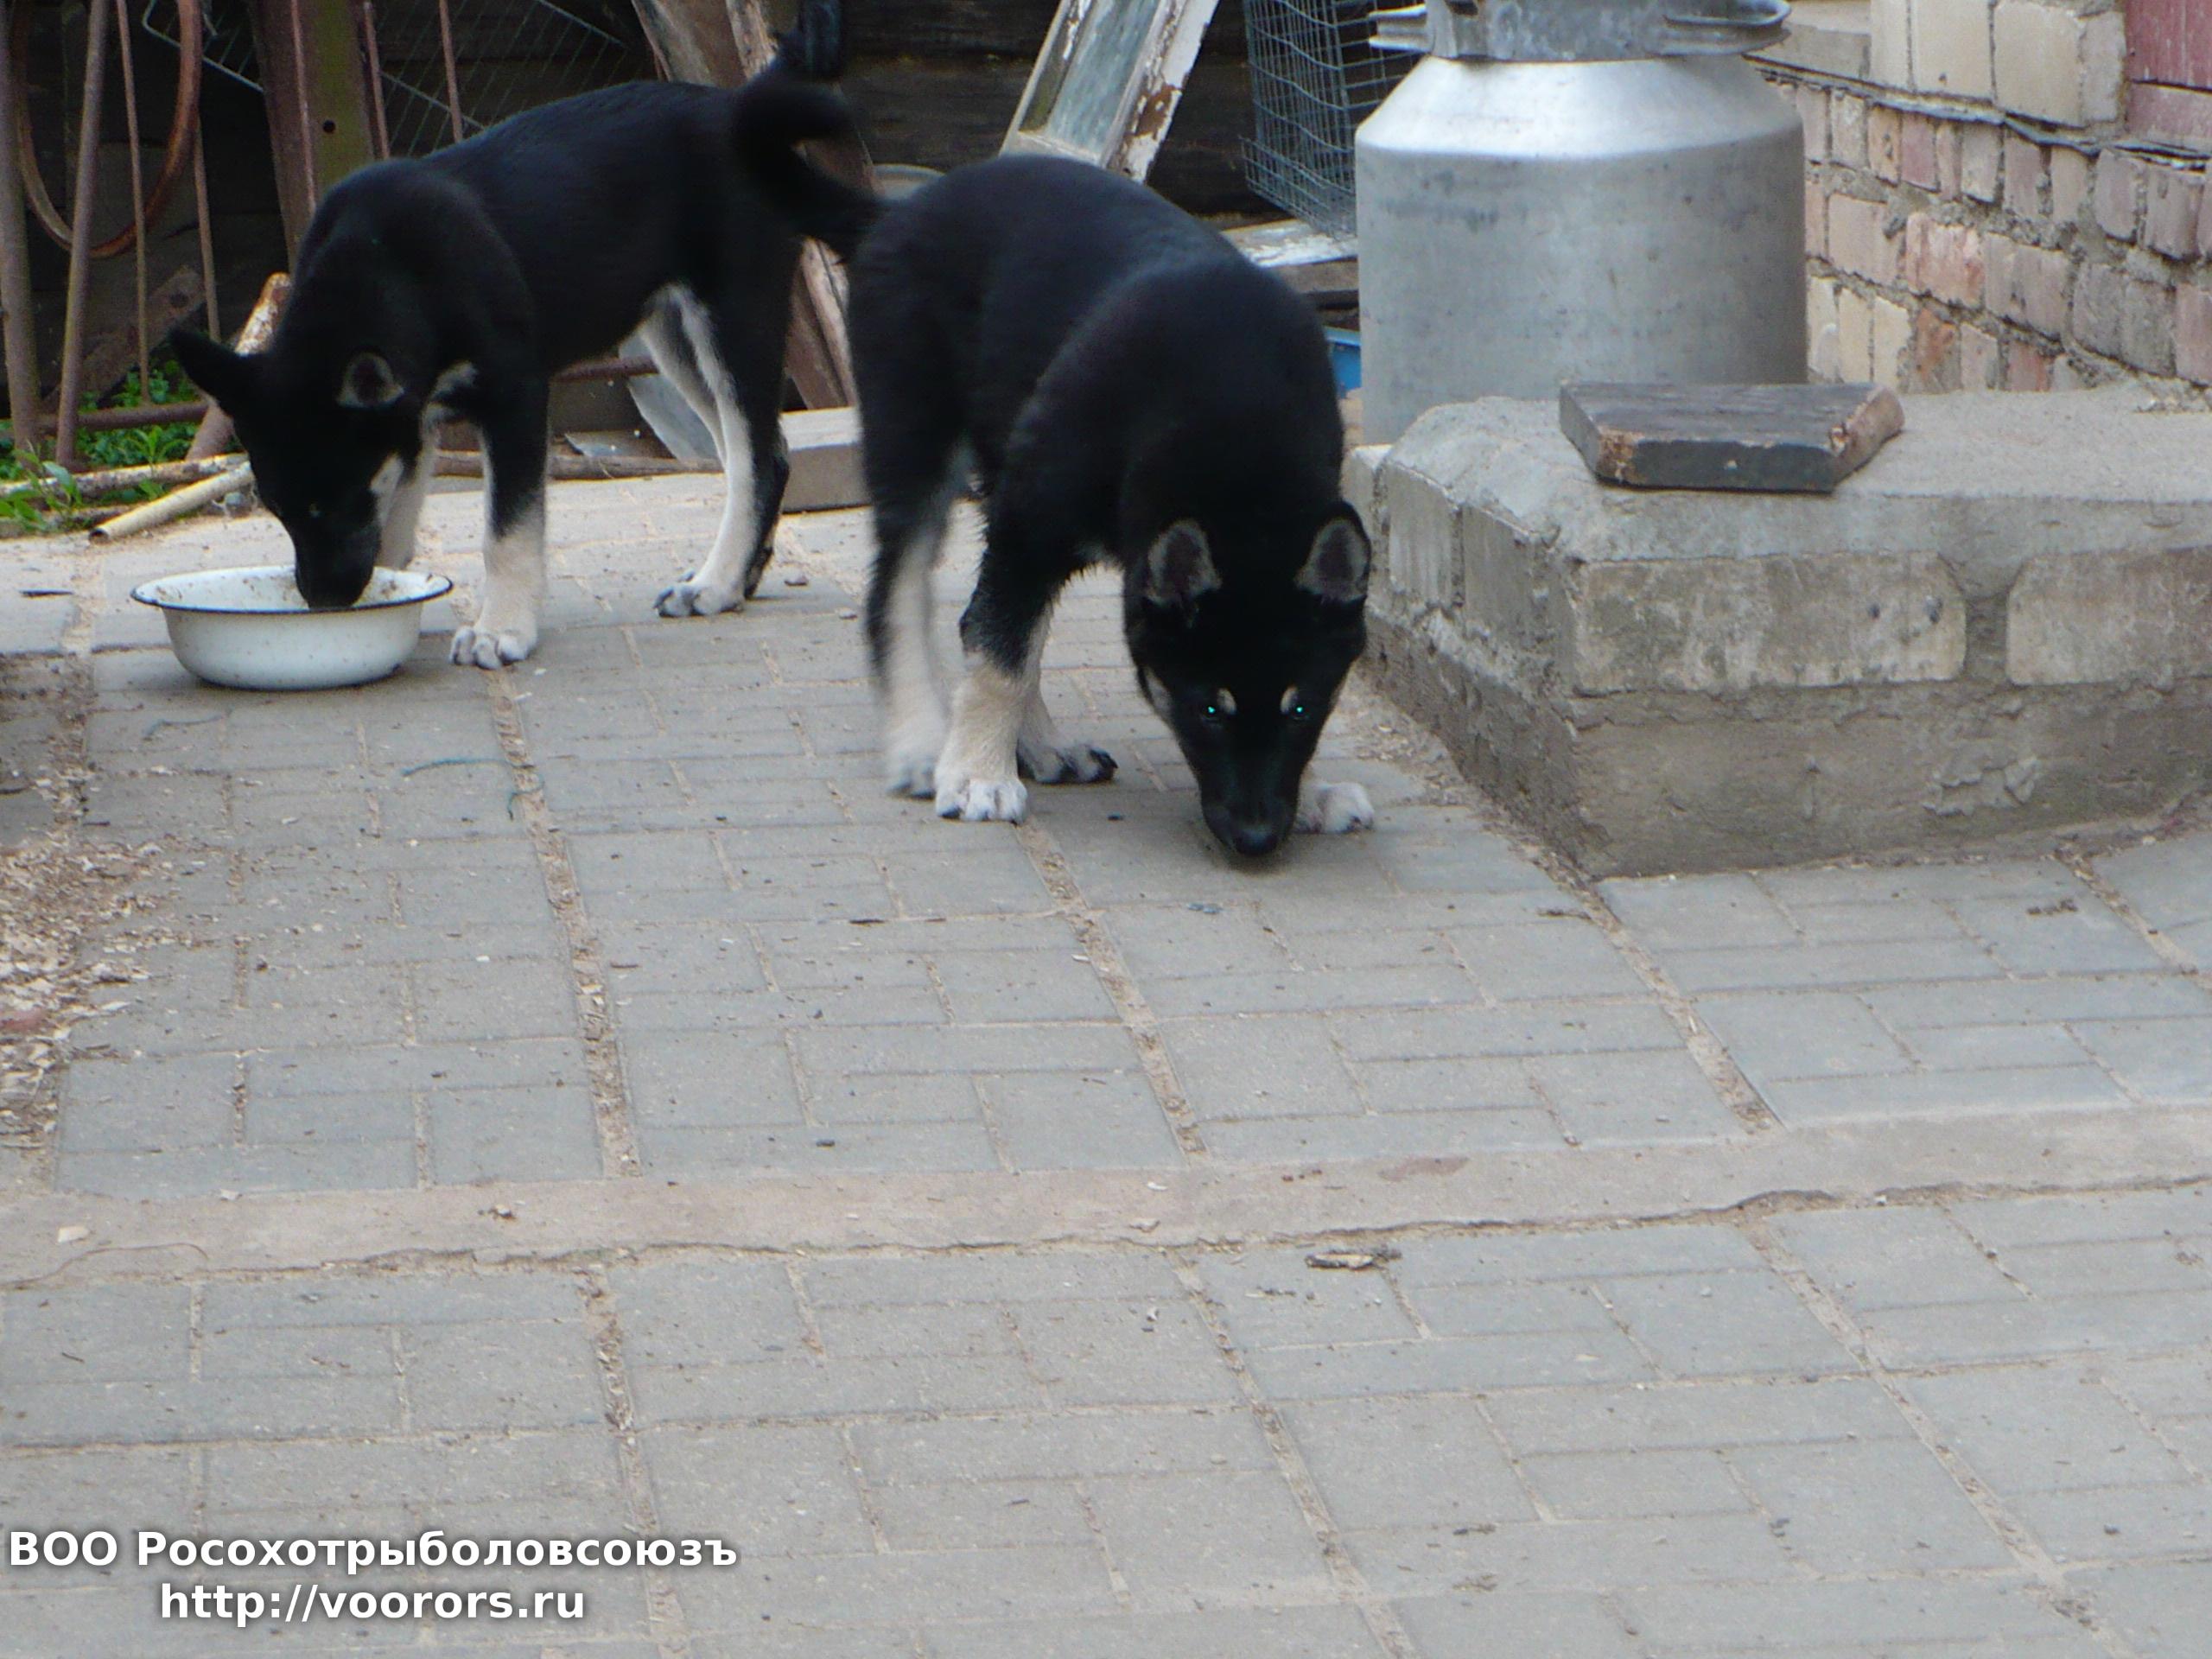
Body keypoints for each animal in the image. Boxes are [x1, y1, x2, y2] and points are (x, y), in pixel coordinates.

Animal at [169, 43, 868, 669]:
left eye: (334, 501)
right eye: (280, 511)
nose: (325, 604)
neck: (389, 266)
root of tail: (743, 115)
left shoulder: (515, 398)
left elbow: (505, 533)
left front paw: (500, 629)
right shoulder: (412, 419)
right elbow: (396, 521)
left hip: (730, 319)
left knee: (757, 462)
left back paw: (717, 585)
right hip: (673, 340)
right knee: (760, 451)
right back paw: (738, 577)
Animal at [809, 155, 1374, 856]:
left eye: (1302, 709)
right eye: (1208, 709)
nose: (1257, 839)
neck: (1241, 441)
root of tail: (893, 213)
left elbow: (1002, 640)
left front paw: (1317, 790)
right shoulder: (1029, 522)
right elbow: (1000, 659)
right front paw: (976, 776)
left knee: (979, 619)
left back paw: (1044, 749)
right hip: (917, 442)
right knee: (899, 593)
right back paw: (922, 742)